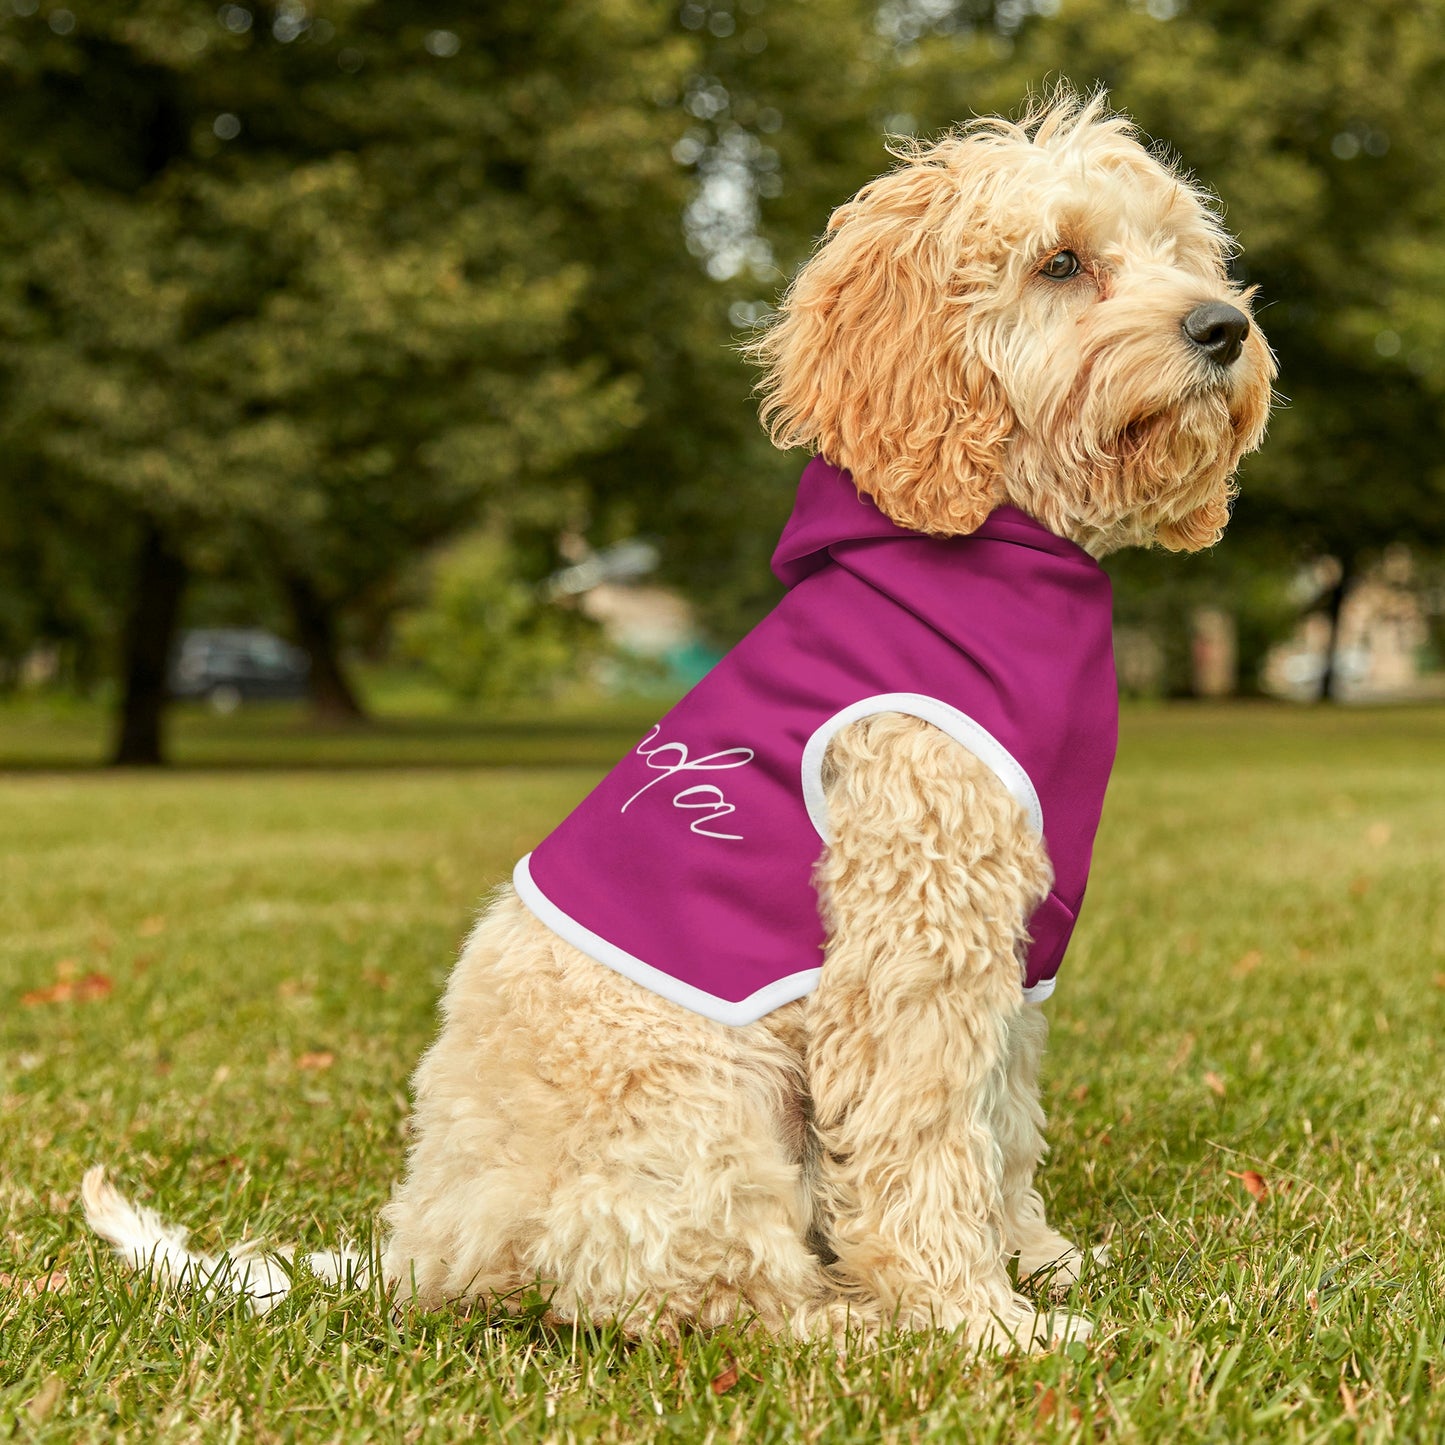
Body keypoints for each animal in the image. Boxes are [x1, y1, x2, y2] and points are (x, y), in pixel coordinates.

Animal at [84, 93, 1271, 1352]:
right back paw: (852, 1322)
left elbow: (999, 1122)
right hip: (704, 1103)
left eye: (1181, 252)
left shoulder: (1012, 946)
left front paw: (1035, 1260)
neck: (990, 550)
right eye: (1060, 262)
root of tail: (424, 1246)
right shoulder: (913, 936)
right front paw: (977, 1318)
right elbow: (924, 1138)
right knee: (700, 1291)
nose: (1222, 327)